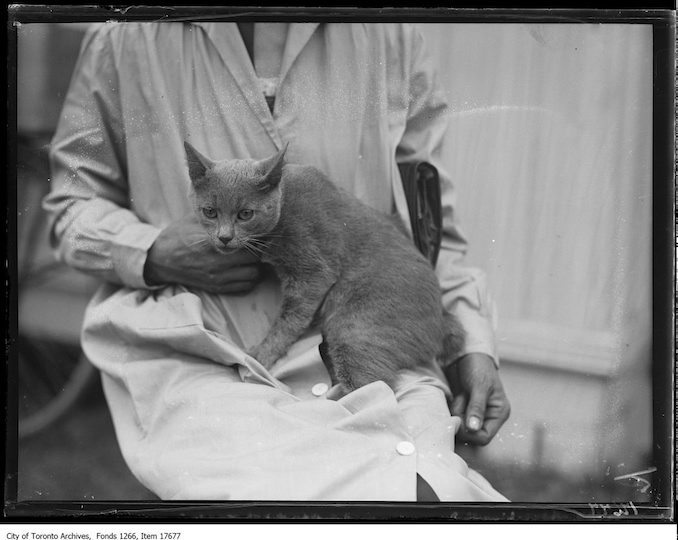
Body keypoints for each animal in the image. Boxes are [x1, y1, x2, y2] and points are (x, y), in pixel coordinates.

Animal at [183, 141, 464, 390]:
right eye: (210, 212)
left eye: (245, 214)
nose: (224, 237)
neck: (284, 205)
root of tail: (442, 318)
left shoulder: (313, 271)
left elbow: (291, 319)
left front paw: (260, 356)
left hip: (355, 330)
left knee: (375, 385)